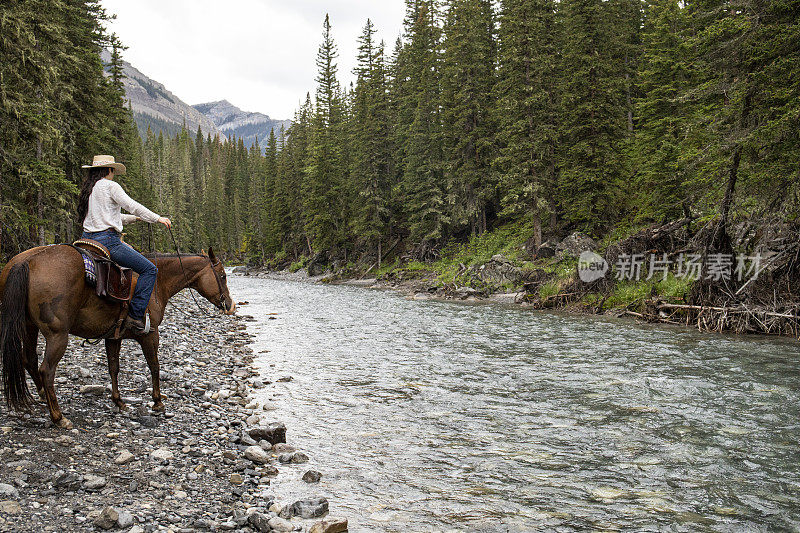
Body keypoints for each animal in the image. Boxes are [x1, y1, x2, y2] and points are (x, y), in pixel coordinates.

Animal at [0, 245, 236, 428]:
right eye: (223, 276)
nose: (230, 305)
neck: (158, 281)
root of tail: (26, 261)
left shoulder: (113, 337)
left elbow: (113, 367)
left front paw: (119, 401)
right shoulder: (150, 334)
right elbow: (154, 366)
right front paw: (158, 402)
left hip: (29, 327)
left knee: (29, 360)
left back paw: (42, 396)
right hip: (57, 334)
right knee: (46, 370)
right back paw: (59, 417)